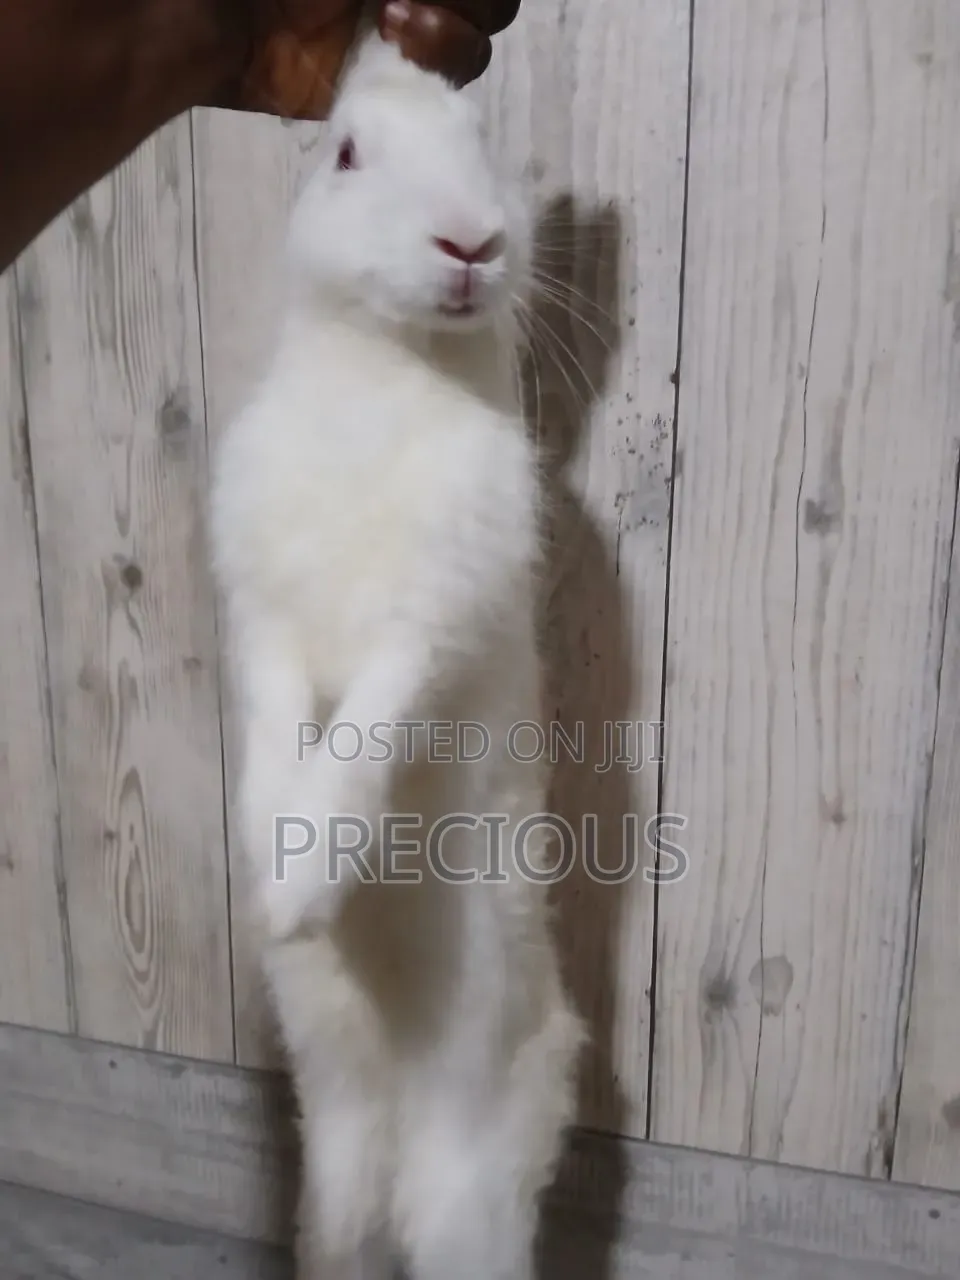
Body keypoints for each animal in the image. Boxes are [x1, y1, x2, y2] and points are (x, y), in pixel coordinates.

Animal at [209, 26, 584, 1280]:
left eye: (484, 149)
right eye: (346, 153)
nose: (473, 242)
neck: (389, 372)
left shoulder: (428, 628)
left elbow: (364, 733)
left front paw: (304, 884)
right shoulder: (267, 614)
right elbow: (281, 723)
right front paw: (273, 862)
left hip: (471, 1184)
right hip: (334, 1145)